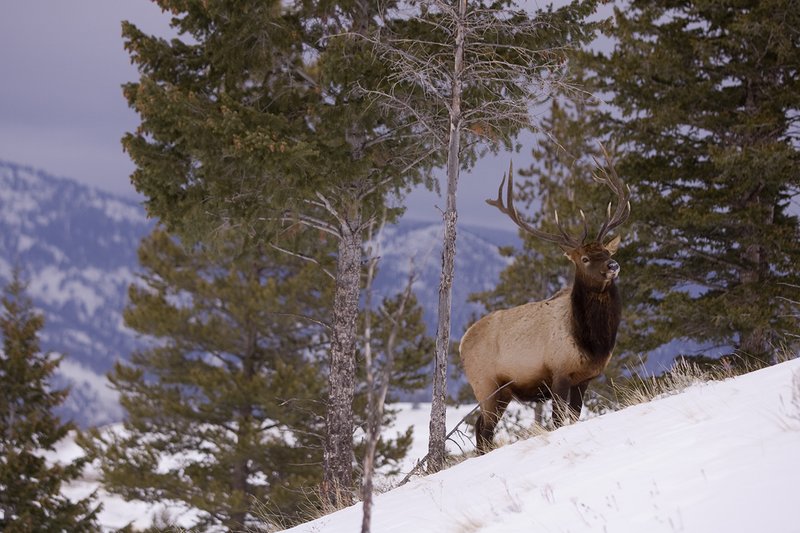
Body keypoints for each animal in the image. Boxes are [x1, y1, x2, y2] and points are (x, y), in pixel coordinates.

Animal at [460, 147, 631, 453]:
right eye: (585, 258)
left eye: (606, 251)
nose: (613, 265)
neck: (592, 341)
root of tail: (460, 343)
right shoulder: (559, 374)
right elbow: (558, 421)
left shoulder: (584, 379)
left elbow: (574, 417)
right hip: (486, 386)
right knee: (484, 430)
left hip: (501, 393)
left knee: (482, 429)